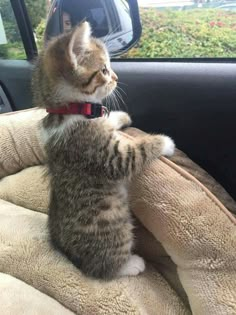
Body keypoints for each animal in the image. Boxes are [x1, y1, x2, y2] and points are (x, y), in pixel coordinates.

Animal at [32, 21, 174, 280]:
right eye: (105, 70)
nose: (117, 77)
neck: (67, 110)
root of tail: (71, 257)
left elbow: (108, 120)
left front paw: (120, 116)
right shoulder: (103, 154)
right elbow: (134, 154)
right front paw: (164, 142)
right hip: (113, 227)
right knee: (105, 267)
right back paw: (130, 265)